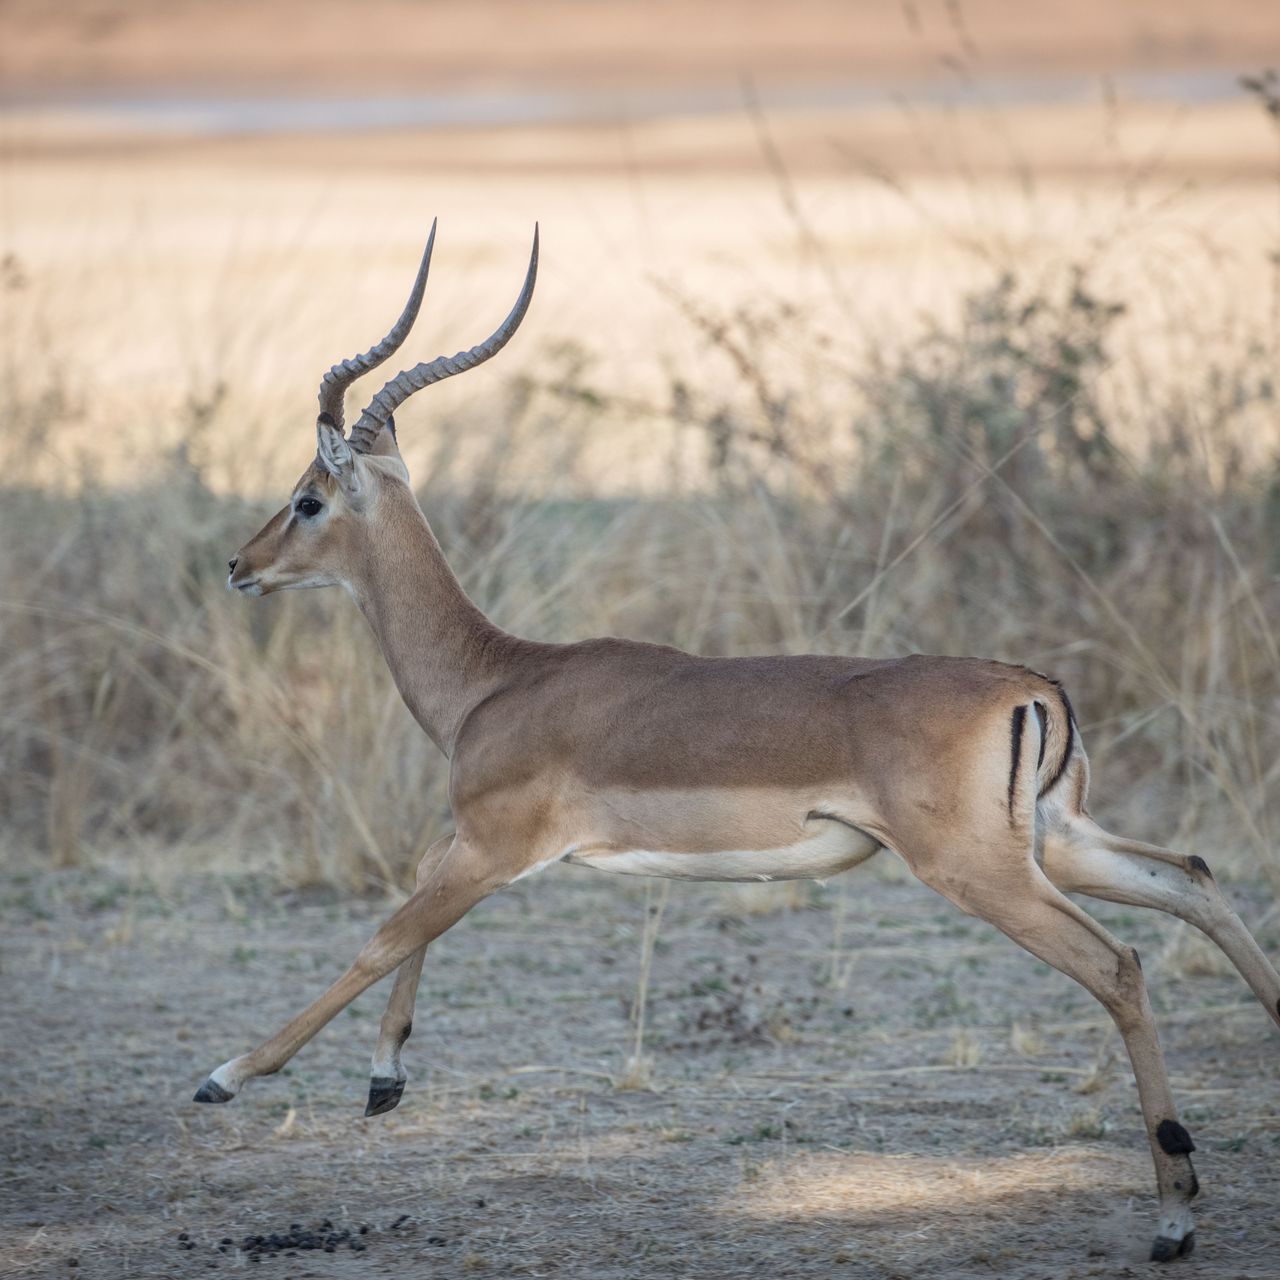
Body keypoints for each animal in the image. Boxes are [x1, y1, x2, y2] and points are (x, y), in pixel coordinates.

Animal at [202, 222, 1280, 1264]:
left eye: (308, 496)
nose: (239, 566)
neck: (495, 676)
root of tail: (1031, 687)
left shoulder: (492, 845)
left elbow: (384, 934)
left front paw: (228, 1073)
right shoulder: (476, 844)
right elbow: (413, 920)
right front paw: (383, 1080)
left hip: (984, 870)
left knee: (1121, 964)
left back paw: (1173, 1218)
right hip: (1059, 842)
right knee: (1193, 878)